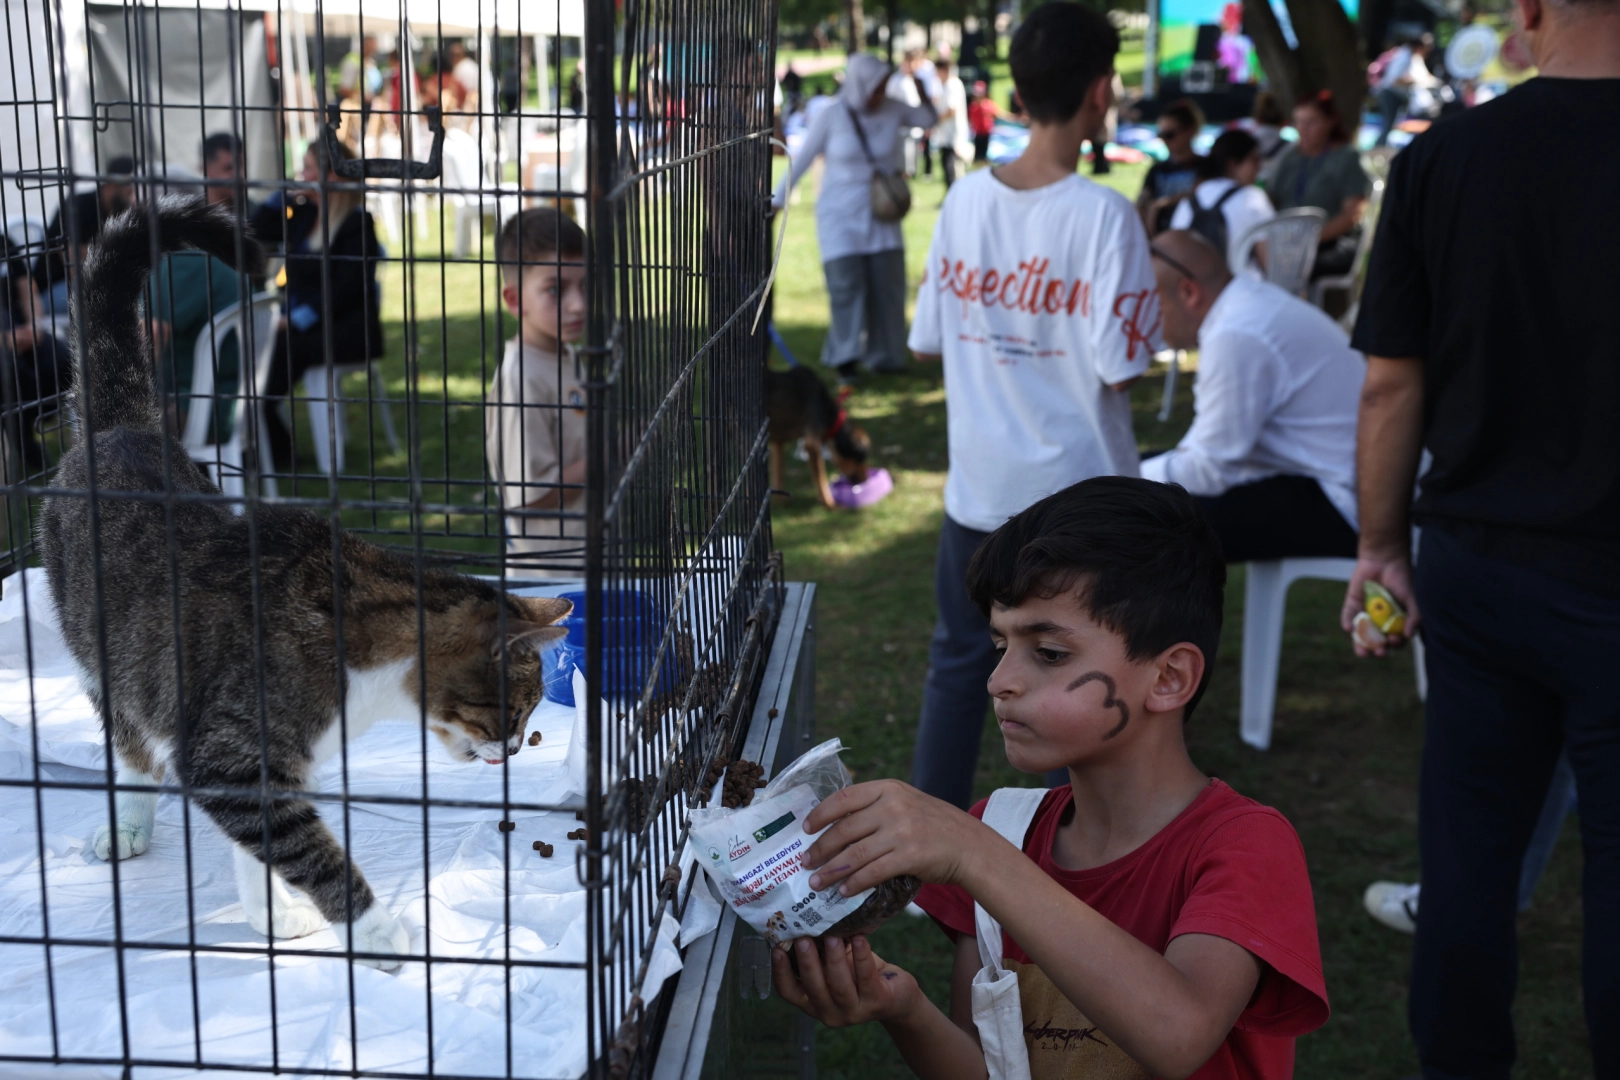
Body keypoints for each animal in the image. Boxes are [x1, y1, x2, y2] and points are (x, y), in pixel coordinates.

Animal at [39, 200, 570, 971]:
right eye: (517, 711)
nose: (515, 748)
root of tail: (123, 430)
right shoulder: (231, 748)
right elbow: (304, 846)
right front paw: (377, 932)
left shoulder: (279, 763)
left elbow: (262, 844)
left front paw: (273, 913)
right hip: (100, 647)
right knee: (129, 737)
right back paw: (130, 816)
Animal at [767, 367, 874, 511]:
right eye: (861, 457)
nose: (865, 479)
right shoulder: (811, 444)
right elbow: (821, 480)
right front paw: (830, 504)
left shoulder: (778, 442)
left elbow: (778, 473)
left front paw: (779, 501)